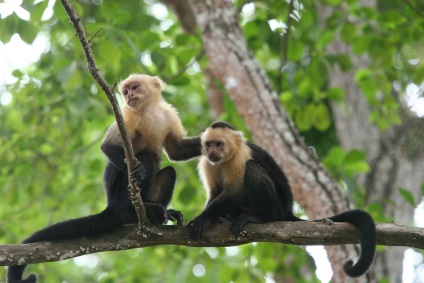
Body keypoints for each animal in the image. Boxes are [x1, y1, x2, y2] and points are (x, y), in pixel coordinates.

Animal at [7, 74, 200, 282]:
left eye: (134, 87)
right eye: (125, 91)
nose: (129, 95)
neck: (147, 110)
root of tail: (112, 205)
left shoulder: (168, 113)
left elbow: (177, 151)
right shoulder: (127, 115)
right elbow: (108, 147)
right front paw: (138, 170)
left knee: (170, 170)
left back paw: (158, 212)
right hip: (119, 195)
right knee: (147, 158)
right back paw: (139, 208)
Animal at [187, 121, 376, 278]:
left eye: (219, 144)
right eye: (208, 144)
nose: (212, 152)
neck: (228, 157)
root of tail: (287, 211)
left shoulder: (241, 156)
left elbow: (235, 193)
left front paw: (202, 218)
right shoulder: (206, 162)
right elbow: (214, 192)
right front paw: (211, 217)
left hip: (277, 206)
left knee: (252, 168)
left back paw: (260, 217)